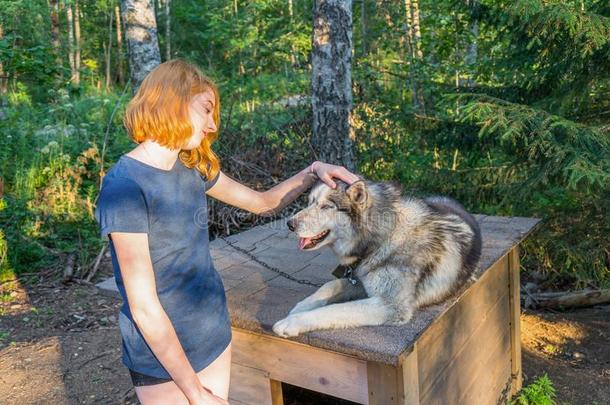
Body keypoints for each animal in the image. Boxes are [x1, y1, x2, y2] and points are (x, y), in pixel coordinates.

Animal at [272, 178, 480, 336]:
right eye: (310, 203)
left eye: (325, 207)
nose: (290, 224)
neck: (382, 238)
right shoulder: (358, 280)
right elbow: (329, 285)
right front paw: (300, 307)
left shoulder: (390, 305)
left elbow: (333, 310)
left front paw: (292, 322)